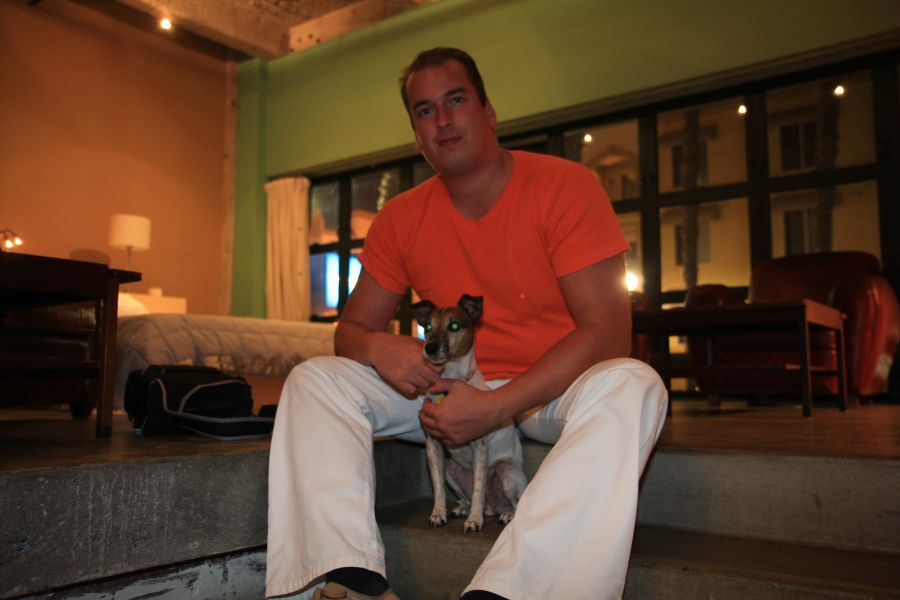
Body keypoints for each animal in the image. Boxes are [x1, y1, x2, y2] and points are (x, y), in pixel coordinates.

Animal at [412, 294, 528, 533]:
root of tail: (493, 508)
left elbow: (478, 489)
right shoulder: (433, 447)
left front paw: (474, 520)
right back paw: (462, 508)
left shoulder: (480, 450)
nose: (430, 347)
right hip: (452, 470)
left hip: (505, 471)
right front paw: (438, 514)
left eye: (454, 325)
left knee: (514, 503)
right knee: (466, 496)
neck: (448, 385)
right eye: (427, 327)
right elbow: (438, 489)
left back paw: (506, 514)